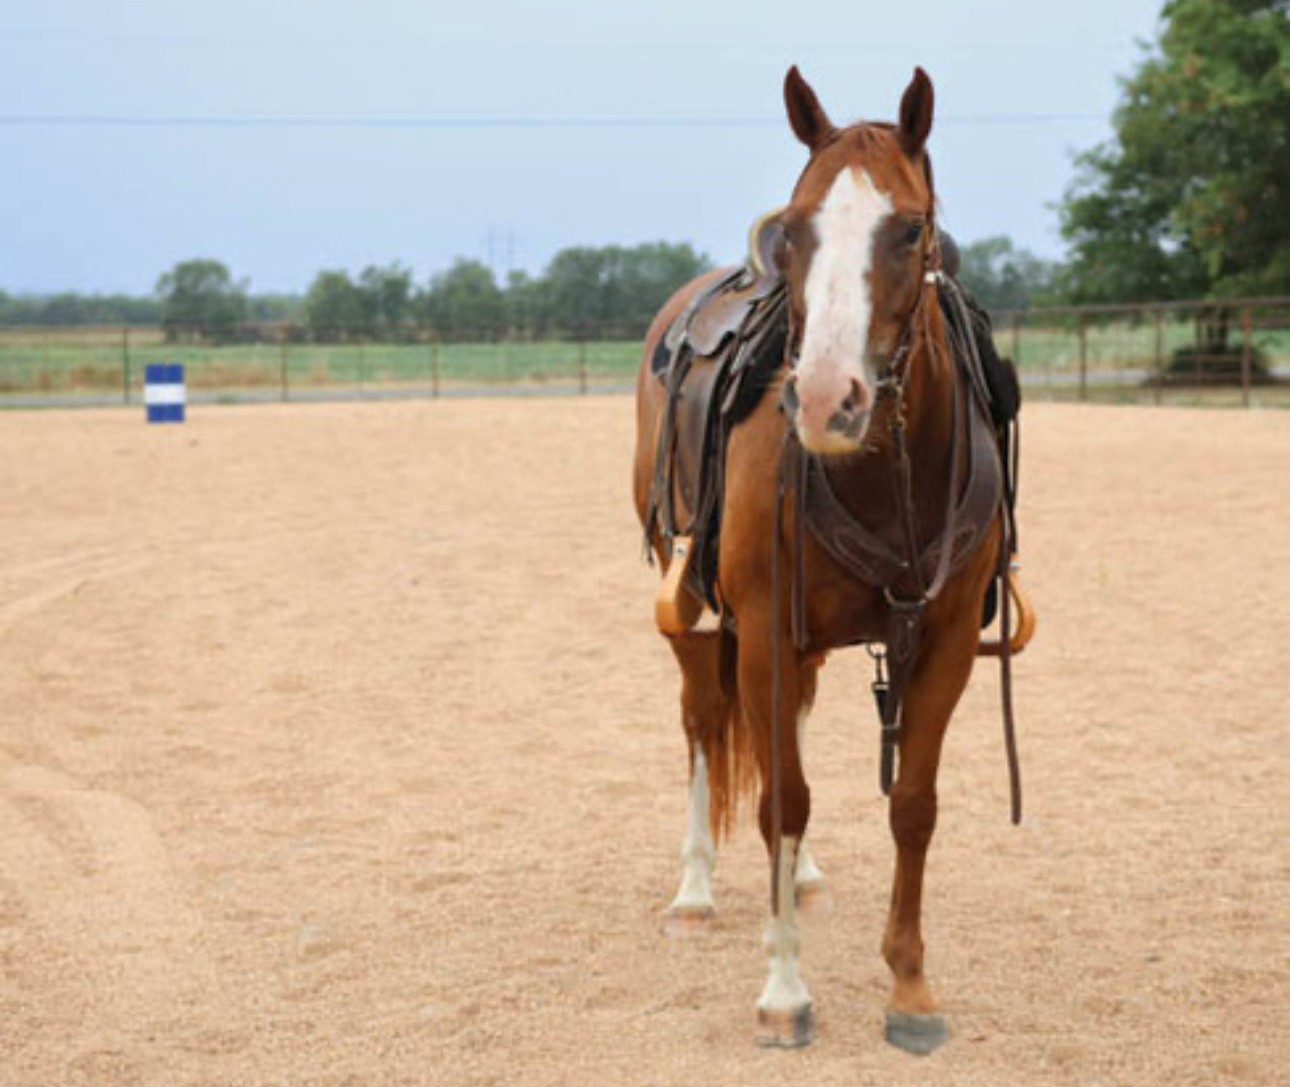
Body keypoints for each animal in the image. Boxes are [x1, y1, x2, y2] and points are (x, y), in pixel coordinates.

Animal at [632, 67, 1016, 1054]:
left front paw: (911, 990)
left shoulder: (944, 641)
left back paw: (799, 879)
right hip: (694, 610)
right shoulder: (764, 629)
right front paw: (783, 991)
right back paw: (694, 890)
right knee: (702, 723)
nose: (824, 400)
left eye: (911, 228)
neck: (881, 479)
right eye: (798, 229)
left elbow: (911, 803)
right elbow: (783, 801)